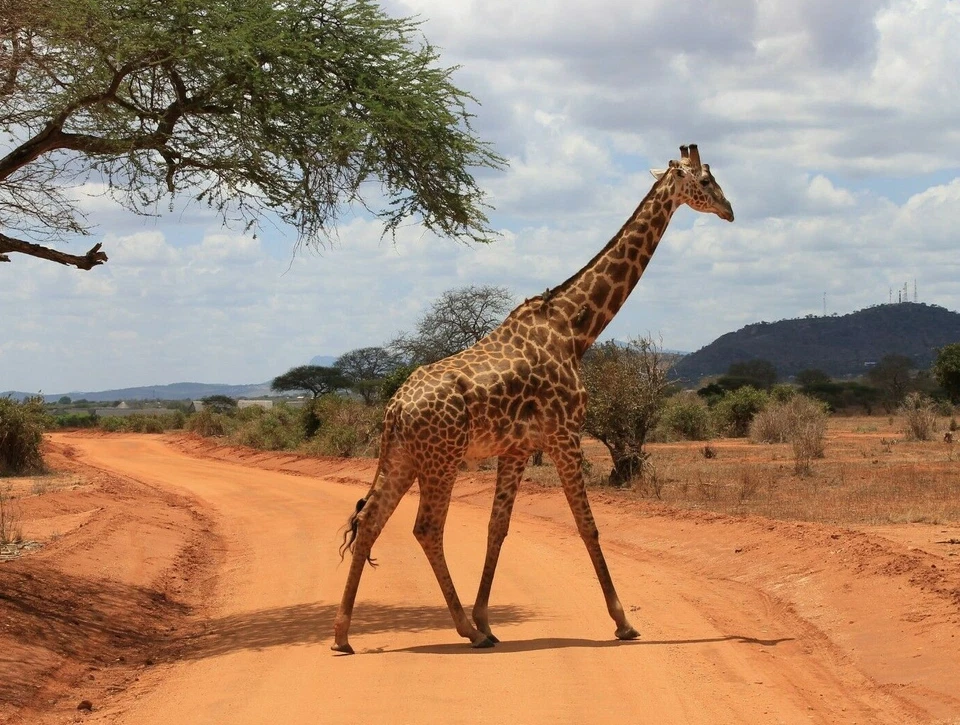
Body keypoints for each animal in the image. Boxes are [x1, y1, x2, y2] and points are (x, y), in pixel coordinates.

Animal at [332, 144, 734, 654]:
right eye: (705, 181)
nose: (730, 211)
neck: (576, 328)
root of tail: (394, 408)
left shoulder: (518, 448)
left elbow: (497, 529)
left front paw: (487, 619)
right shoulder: (565, 433)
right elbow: (587, 524)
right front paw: (622, 621)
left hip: (404, 457)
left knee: (369, 521)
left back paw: (343, 635)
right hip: (442, 459)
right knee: (426, 528)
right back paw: (463, 631)